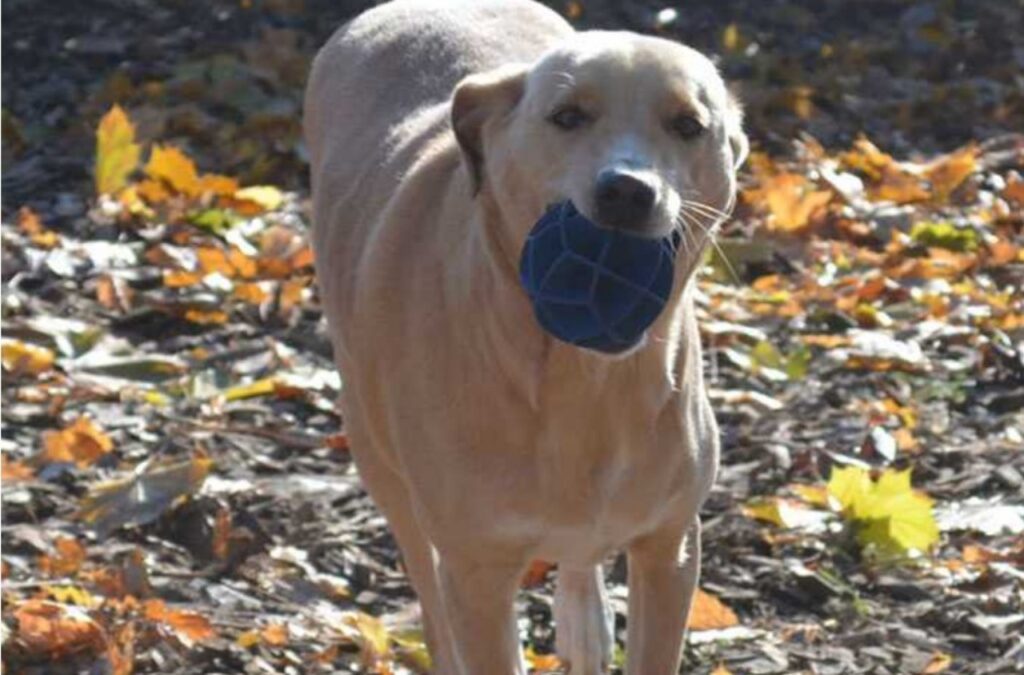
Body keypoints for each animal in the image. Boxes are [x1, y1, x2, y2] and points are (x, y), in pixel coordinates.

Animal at [301, 2, 745, 671]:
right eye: (567, 116)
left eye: (688, 125)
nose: (627, 189)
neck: (584, 377)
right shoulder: (476, 569)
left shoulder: (670, 548)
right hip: (379, 456)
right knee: (427, 588)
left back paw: (584, 625)